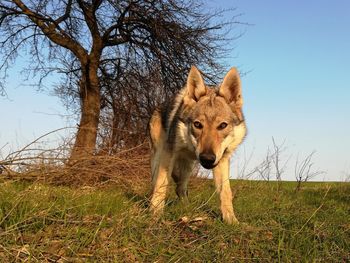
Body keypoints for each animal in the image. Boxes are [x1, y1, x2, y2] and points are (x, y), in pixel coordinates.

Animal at [148, 66, 246, 225]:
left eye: (222, 125)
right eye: (198, 125)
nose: (207, 158)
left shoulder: (222, 160)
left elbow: (226, 192)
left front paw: (231, 221)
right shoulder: (168, 154)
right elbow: (161, 185)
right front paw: (155, 215)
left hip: (188, 167)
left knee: (180, 188)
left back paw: (188, 209)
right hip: (158, 157)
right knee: (156, 183)